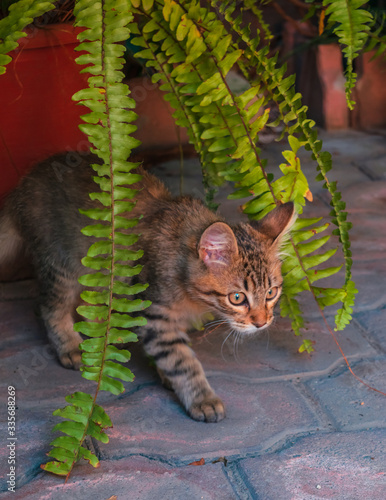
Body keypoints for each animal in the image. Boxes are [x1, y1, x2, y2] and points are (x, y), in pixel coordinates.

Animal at [0, 152, 296, 422]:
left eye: (271, 293)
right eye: (237, 298)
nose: (261, 322)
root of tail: (24, 184)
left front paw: (166, 375)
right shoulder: (155, 316)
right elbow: (182, 361)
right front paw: (202, 398)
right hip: (62, 265)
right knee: (48, 307)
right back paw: (70, 345)